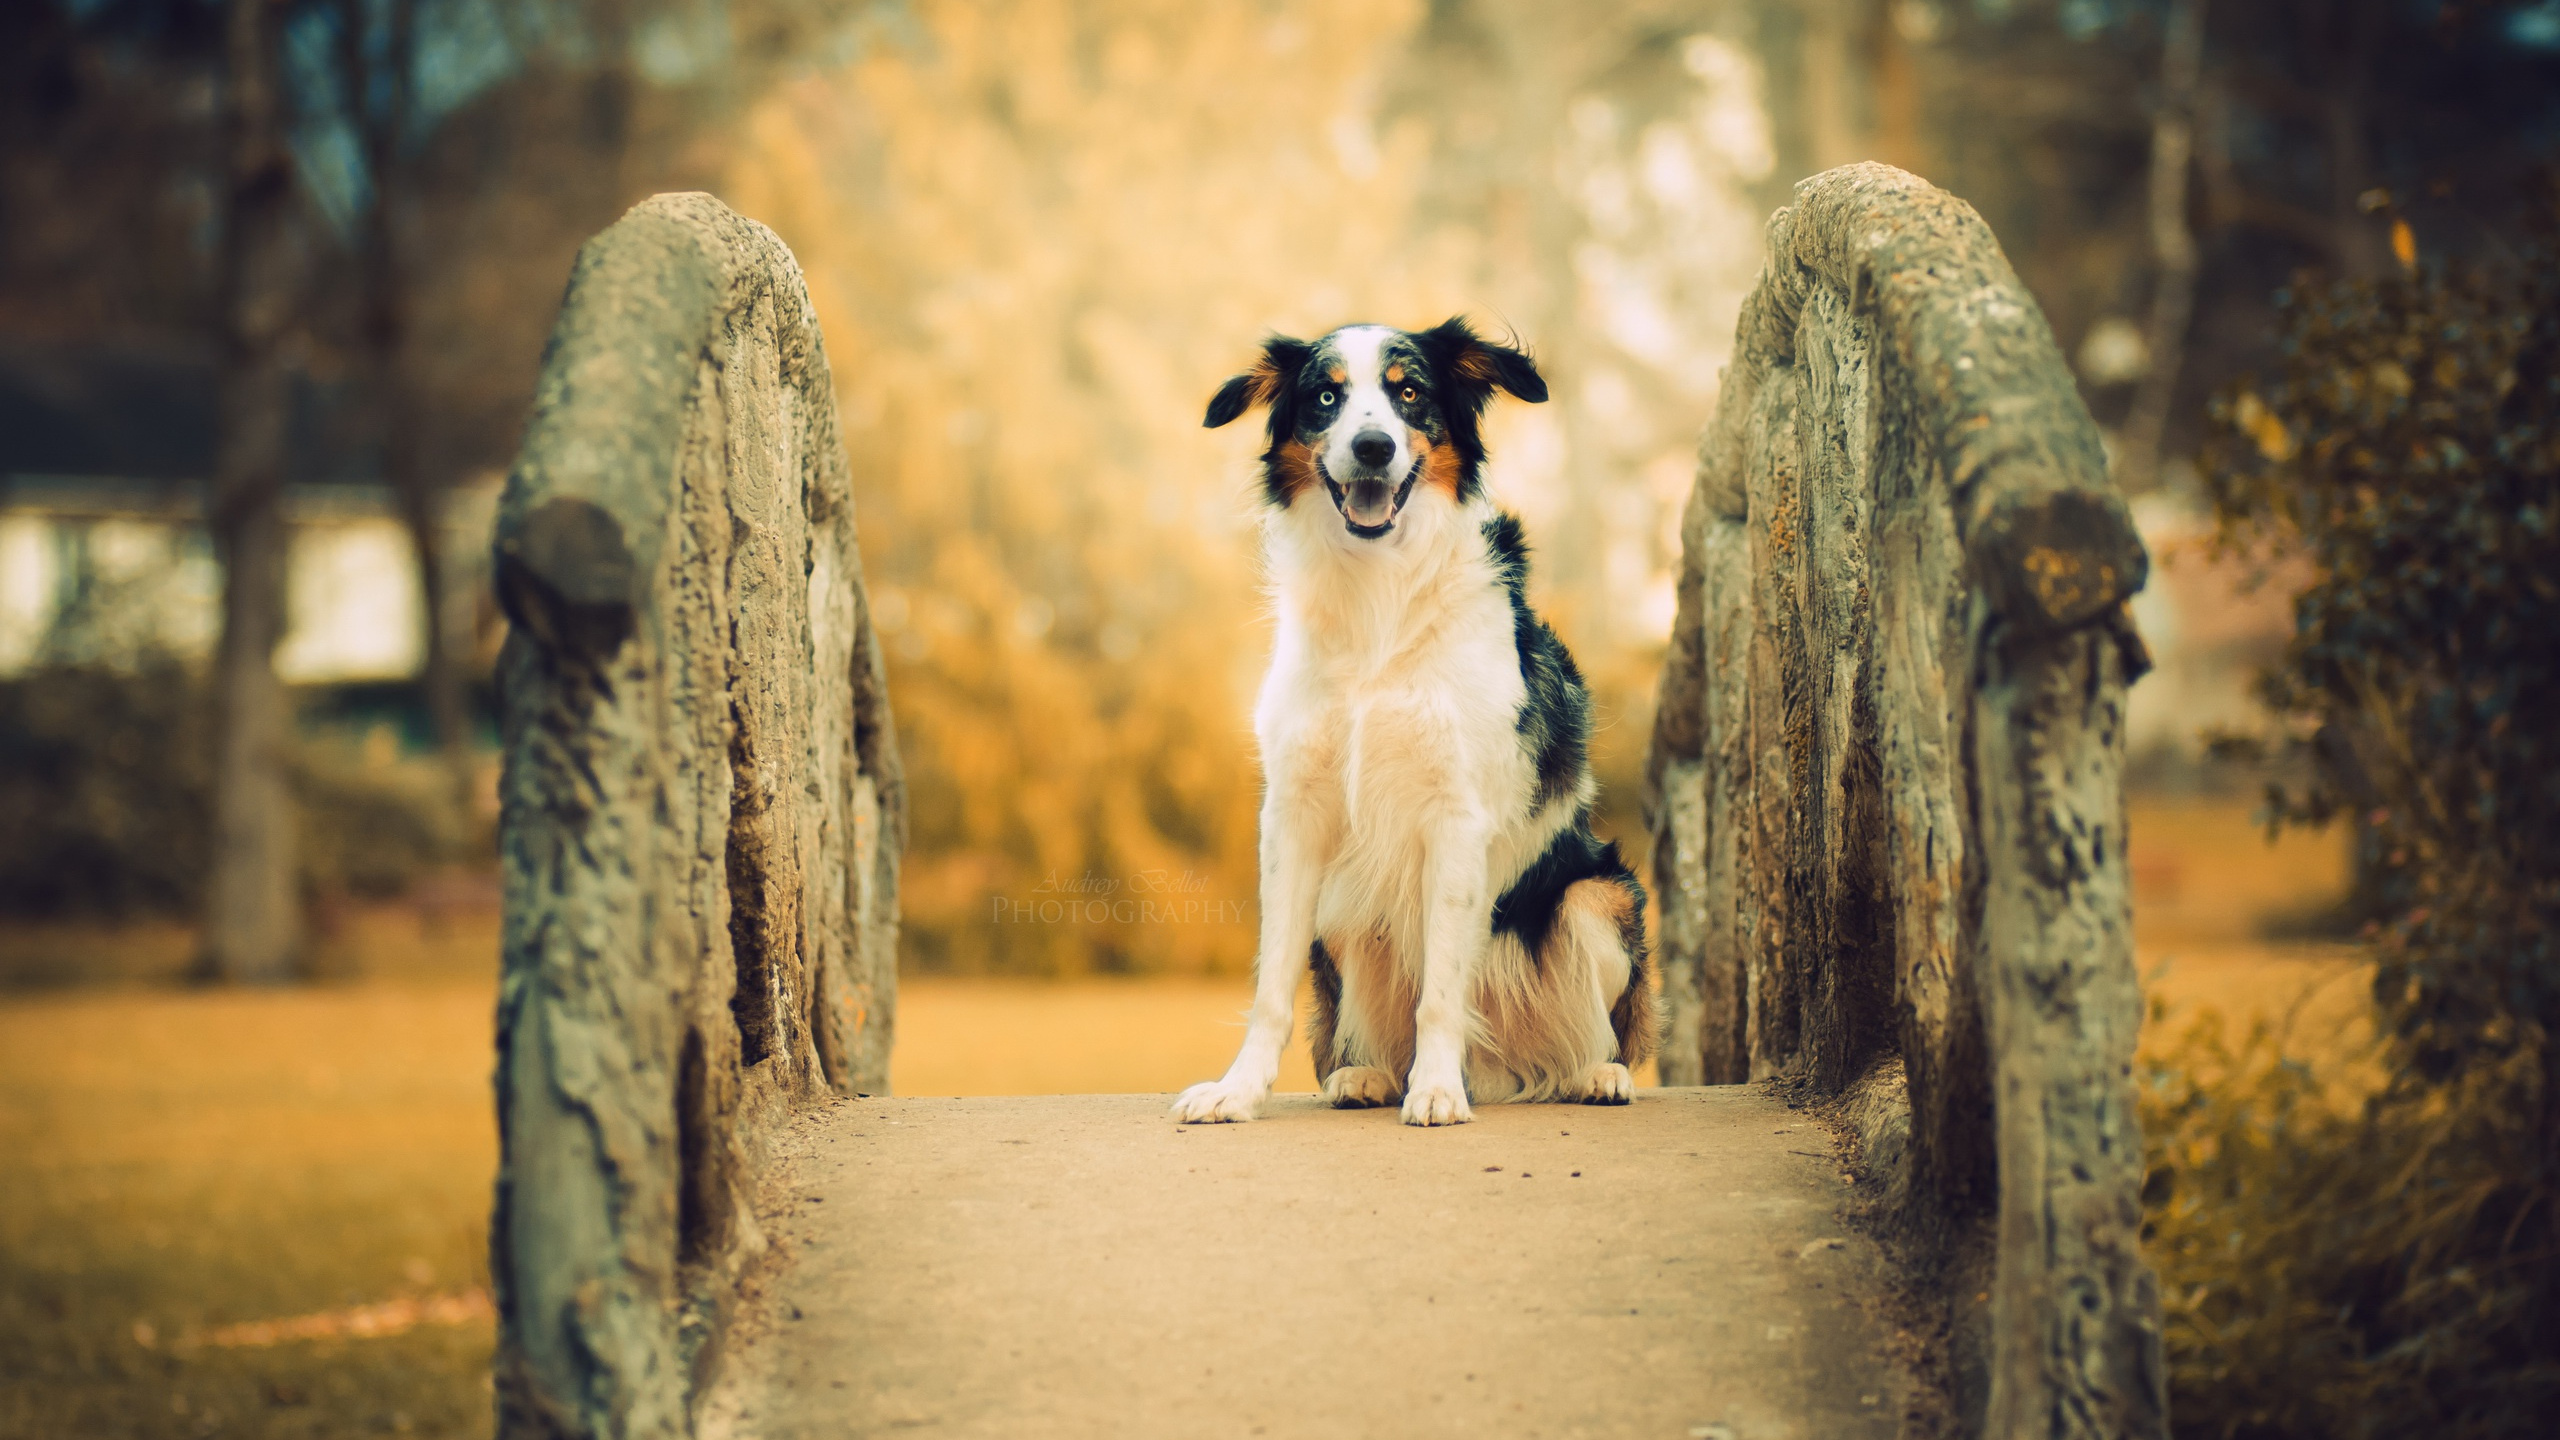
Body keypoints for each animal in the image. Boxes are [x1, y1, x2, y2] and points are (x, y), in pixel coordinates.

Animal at [1172, 313, 1648, 1122]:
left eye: (1410, 394)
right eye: (1326, 396)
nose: (1373, 447)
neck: (1379, 594)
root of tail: (1500, 1072)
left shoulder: (1456, 815)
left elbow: (1442, 990)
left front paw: (1435, 1090)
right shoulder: (1294, 815)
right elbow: (1271, 987)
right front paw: (1238, 1090)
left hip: (1598, 896)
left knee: (1594, 1026)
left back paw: (1591, 1074)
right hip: (1342, 910)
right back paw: (1365, 1075)